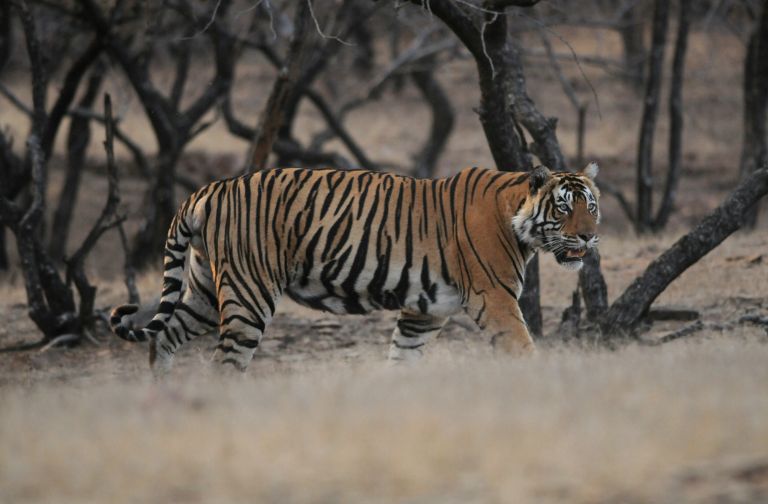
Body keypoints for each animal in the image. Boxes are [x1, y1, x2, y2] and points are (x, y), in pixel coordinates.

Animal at [111, 163, 600, 376]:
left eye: (591, 206)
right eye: (564, 208)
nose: (589, 237)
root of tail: (207, 189)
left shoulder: (425, 311)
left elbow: (402, 358)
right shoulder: (494, 299)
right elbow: (524, 349)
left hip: (204, 293)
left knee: (164, 338)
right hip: (248, 294)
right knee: (225, 361)